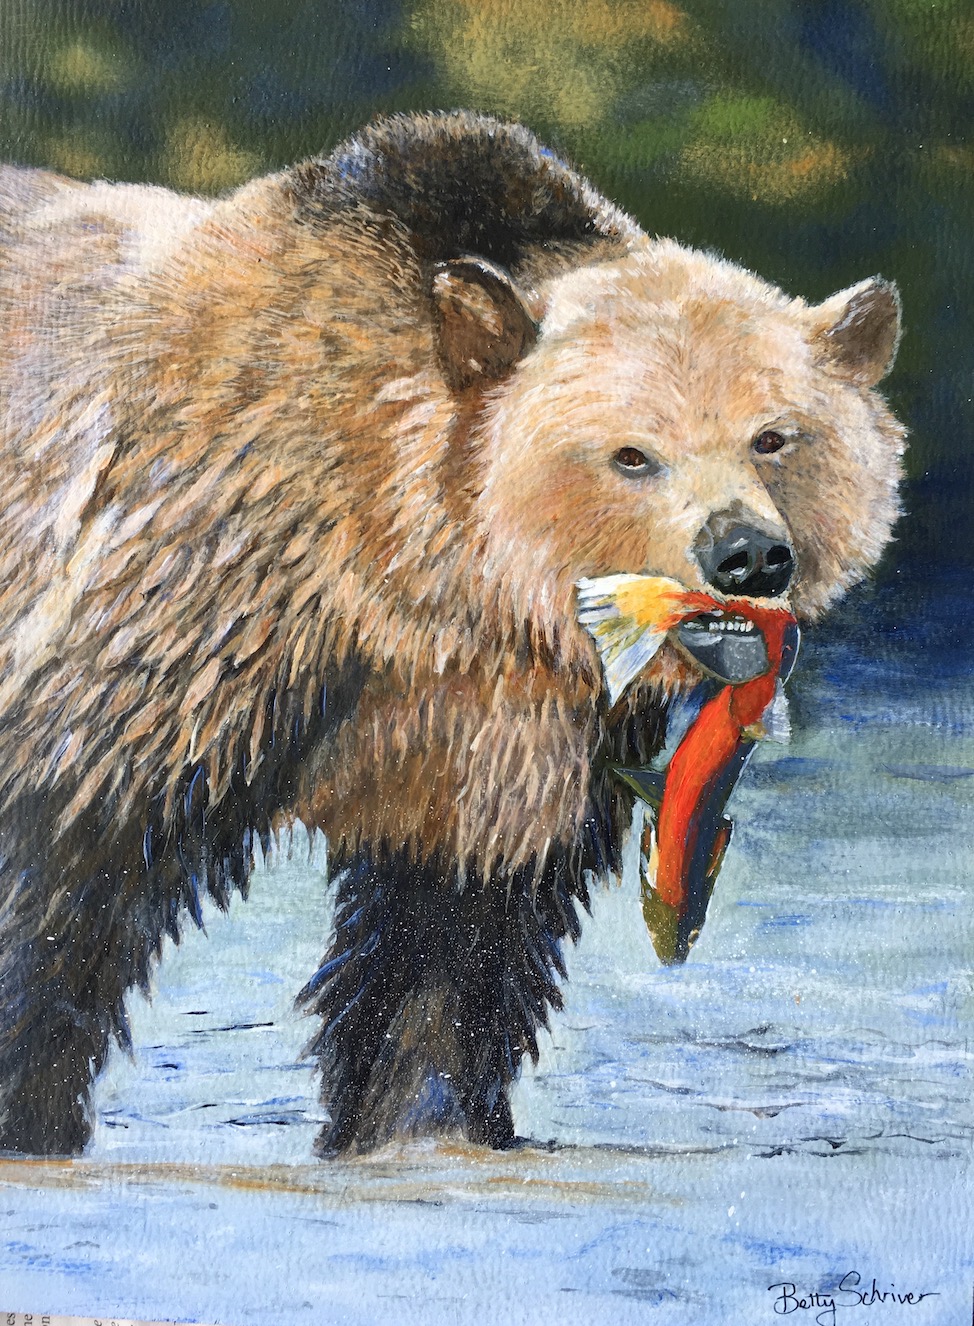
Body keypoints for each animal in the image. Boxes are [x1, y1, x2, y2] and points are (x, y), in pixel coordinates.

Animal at [0, 111, 905, 1157]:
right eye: (633, 453)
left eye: (775, 435)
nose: (747, 555)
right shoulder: (202, 594)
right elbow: (70, 856)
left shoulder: (506, 735)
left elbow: (450, 945)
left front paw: (424, 1125)